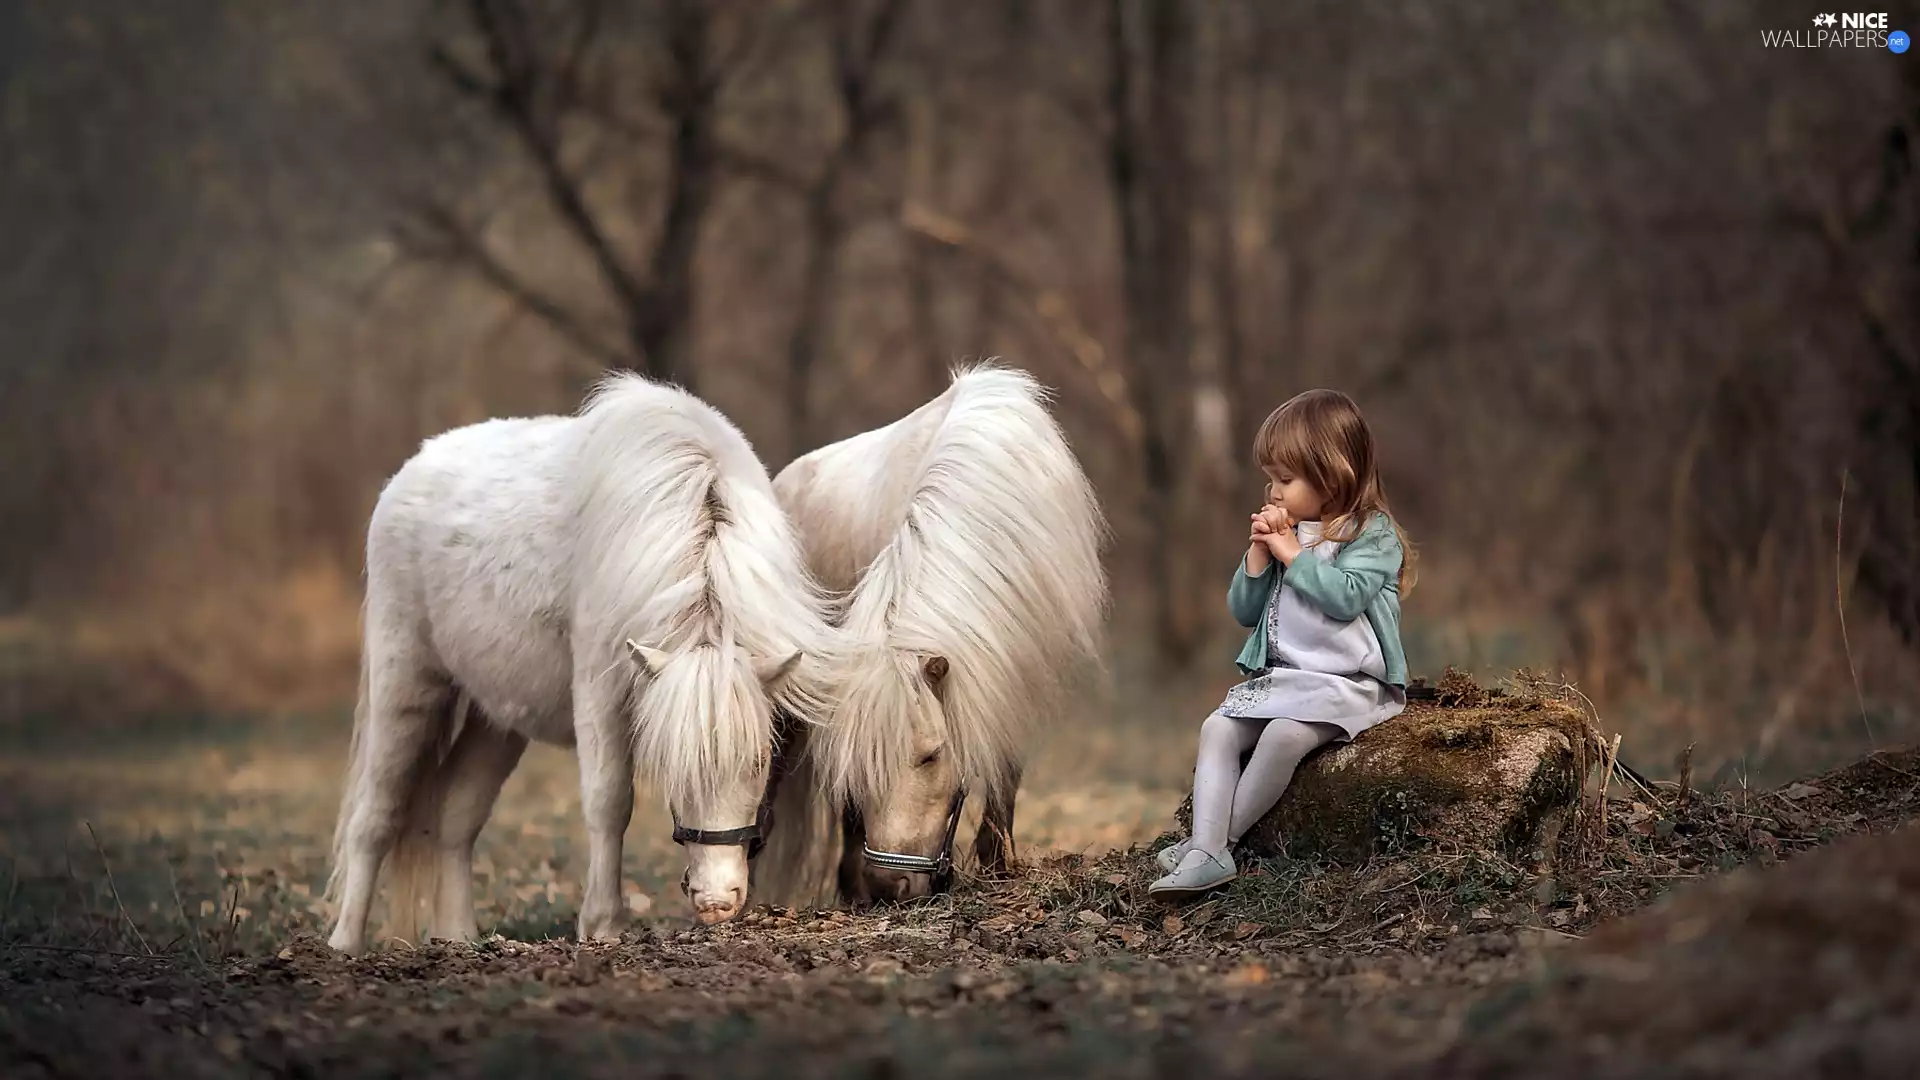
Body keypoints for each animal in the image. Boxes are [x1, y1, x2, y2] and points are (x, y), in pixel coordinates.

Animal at [323, 373, 843, 953]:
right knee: (374, 817)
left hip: (495, 717)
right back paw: (344, 943)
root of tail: (408, 472)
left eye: (757, 762)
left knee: (455, 813)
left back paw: (457, 936)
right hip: (406, 686)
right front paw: (603, 924)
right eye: (672, 767)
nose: (716, 902)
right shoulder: (601, 692)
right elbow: (609, 803)